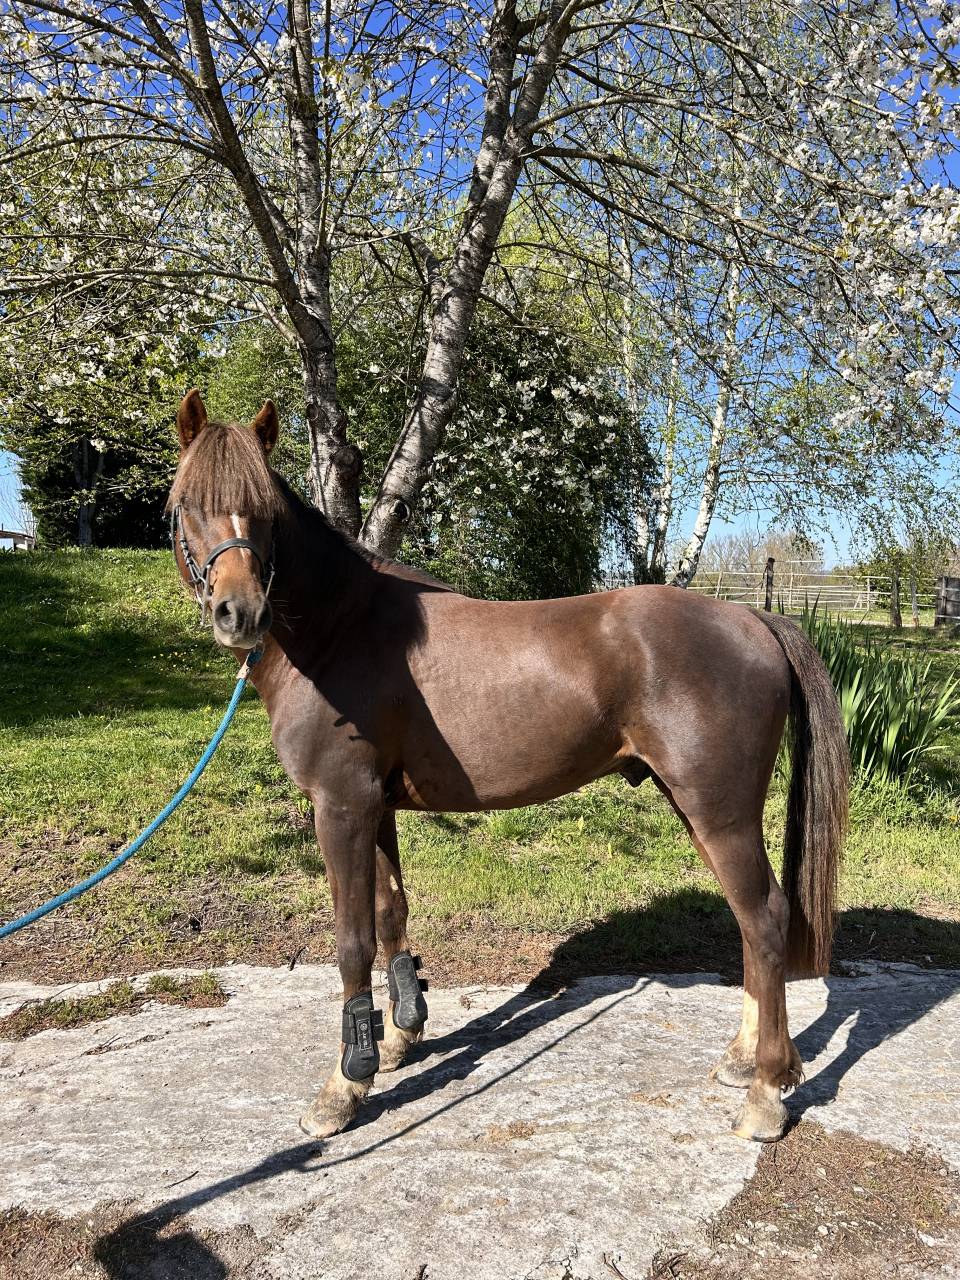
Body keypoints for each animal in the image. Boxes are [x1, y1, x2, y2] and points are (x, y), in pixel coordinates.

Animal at [167, 389, 849, 1144]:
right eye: (185, 504)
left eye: (264, 511)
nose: (240, 613)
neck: (339, 631)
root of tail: (754, 620)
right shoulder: (373, 808)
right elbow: (392, 915)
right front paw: (400, 1038)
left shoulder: (339, 806)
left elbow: (351, 941)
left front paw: (345, 1085)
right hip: (698, 809)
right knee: (750, 922)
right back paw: (741, 1059)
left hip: (719, 812)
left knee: (765, 918)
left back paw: (765, 1092)